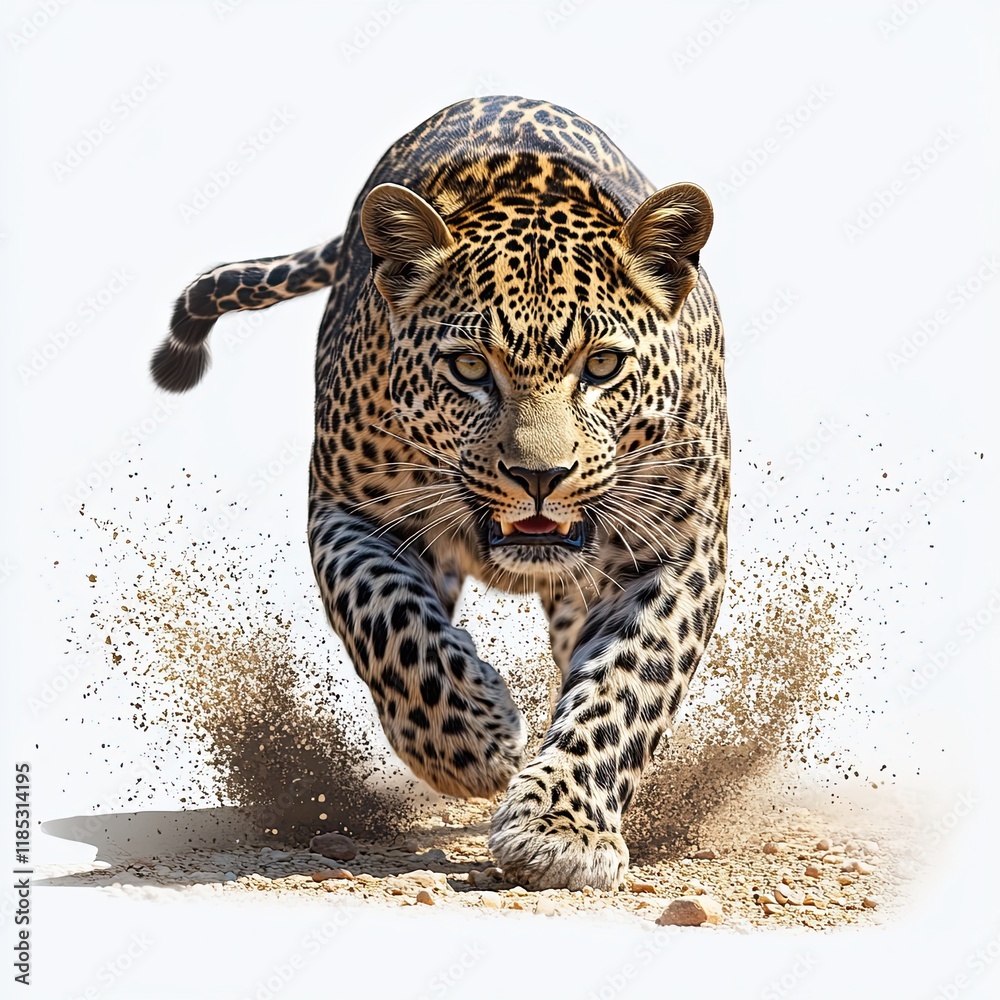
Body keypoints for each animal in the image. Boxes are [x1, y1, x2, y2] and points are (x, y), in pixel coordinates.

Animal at [150, 95, 730, 892]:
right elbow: (389, 621)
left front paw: (561, 829)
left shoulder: (677, 546)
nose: (539, 477)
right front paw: (470, 742)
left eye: (603, 366)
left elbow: (627, 682)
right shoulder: (350, 513)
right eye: (469, 367)